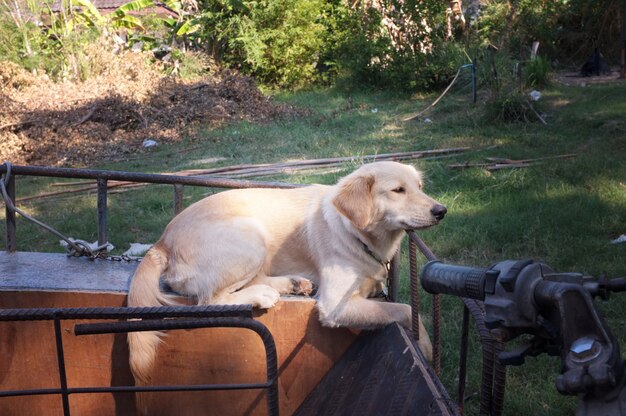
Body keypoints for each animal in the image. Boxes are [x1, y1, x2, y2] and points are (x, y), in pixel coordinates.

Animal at [129, 162, 446, 384]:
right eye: (397, 190)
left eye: (419, 186)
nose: (441, 211)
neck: (356, 232)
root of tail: (161, 242)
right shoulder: (335, 306)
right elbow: (405, 309)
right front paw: (426, 349)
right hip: (251, 235)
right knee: (210, 300)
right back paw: (263, 294)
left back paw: (292, 283)